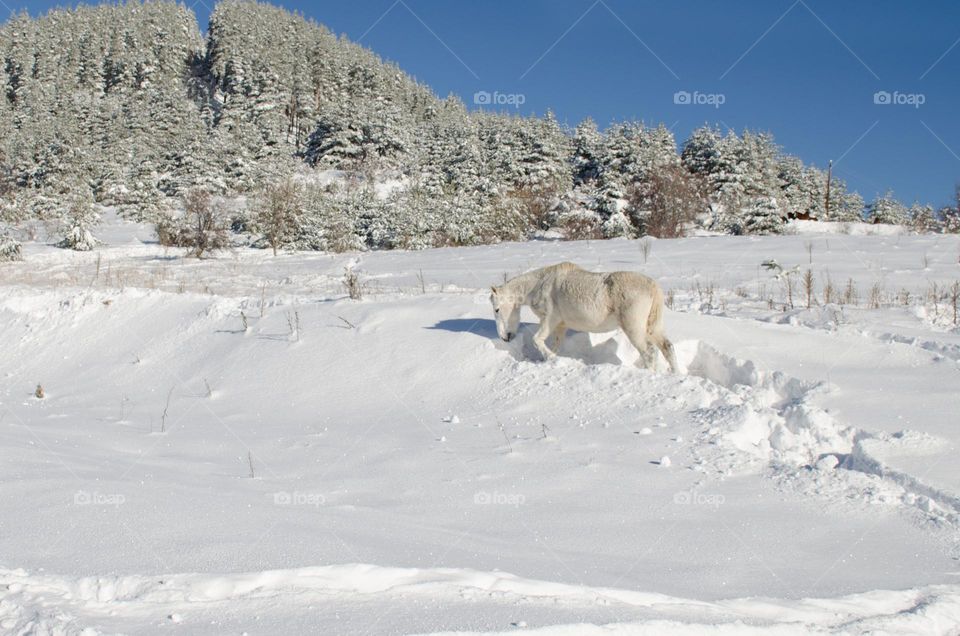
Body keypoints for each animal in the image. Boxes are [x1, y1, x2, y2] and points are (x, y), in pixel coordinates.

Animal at [492, 262, 680, 372]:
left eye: (497, 309)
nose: (505, 337)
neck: (538, 284)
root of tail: (654, 287)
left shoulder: (549, 319)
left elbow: (537, 340)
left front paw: (551, 358)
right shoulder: (561, 325)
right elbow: (556, 344)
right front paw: (550, 359)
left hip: (633, 328)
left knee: (648, 352)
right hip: (652, 326)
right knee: (667, 347)